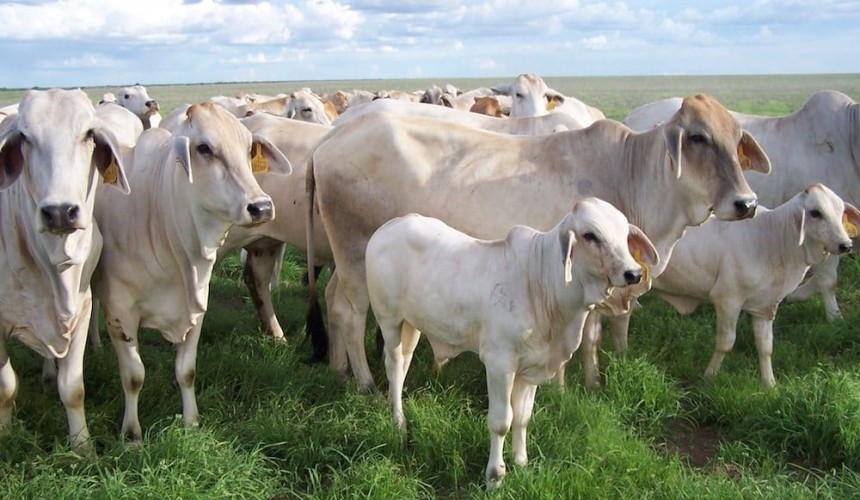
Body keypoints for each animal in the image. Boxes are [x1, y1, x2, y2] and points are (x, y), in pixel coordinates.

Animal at [0, 89, 130, 452]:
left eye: (88, 134)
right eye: (25, 137)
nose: (59, 212)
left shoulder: (81, 310)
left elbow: (72, 388)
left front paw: (82, 445)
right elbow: (6, 387)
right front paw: (5, 434)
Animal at [90, 102, 290, 443]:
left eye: (248, 148)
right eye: (204, 148)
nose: (261, 207)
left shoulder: (197, 309)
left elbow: (186, 370)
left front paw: (191, 421)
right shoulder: (120, 313)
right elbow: (133, 376)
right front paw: (131, 434)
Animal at [306, 94, 770, 393]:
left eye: (736, 139)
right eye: (698, 138)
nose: (746, 203)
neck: (630, 173)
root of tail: (328, 140)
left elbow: (591, 338)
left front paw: (591, 383)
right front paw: (563, 389)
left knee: (332, 302)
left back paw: (338, 368)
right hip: (355, 257)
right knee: (349, 312)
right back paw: (365, 382)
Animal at [367, 200, 658, 489]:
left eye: (624, 234)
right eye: (590, 235)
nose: (632, 273)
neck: (543, 288)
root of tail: (389, 227)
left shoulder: (530, 370)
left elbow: (522, 417)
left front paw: (522, 464)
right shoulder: (499, 365)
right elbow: (501, 422)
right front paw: (495, 477)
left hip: (412, 324)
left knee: (405, 363)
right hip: (389, 320)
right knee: (394, 366)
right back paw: (399, 424)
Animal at [652, 184, 859, 388]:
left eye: (840, 212)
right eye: (816, 213)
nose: (846, 244)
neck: (773, 241)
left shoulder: (764, 306)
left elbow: (765, 347)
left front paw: (770, 384)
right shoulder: (727, 299)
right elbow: (726, 343)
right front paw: (709, 375)